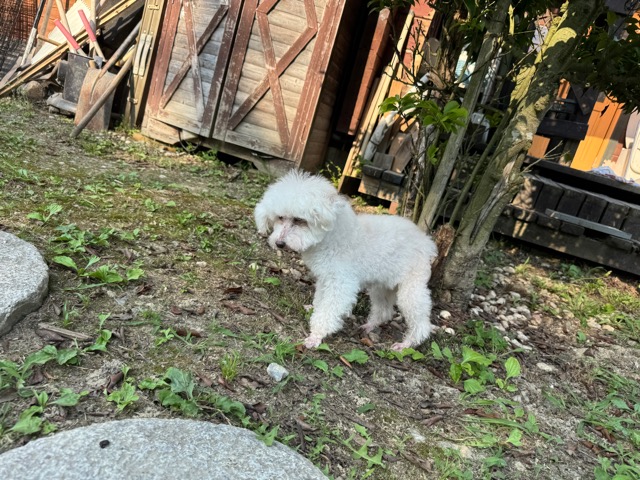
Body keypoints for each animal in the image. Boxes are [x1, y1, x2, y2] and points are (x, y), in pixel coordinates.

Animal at [254, 170, 438, 351]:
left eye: (300, 220)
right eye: (280, 217)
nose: (279, 243)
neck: (330, 237)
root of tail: (426, 241)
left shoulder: (341, 283)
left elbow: (329, 310)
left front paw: (316, 336)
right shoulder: (326, 278)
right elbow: (320, 299)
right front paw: (313, 310)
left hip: (411, 288)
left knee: (421, 322)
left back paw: (407, 343)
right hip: (383, 286)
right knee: (384, 310)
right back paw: (370, 326)